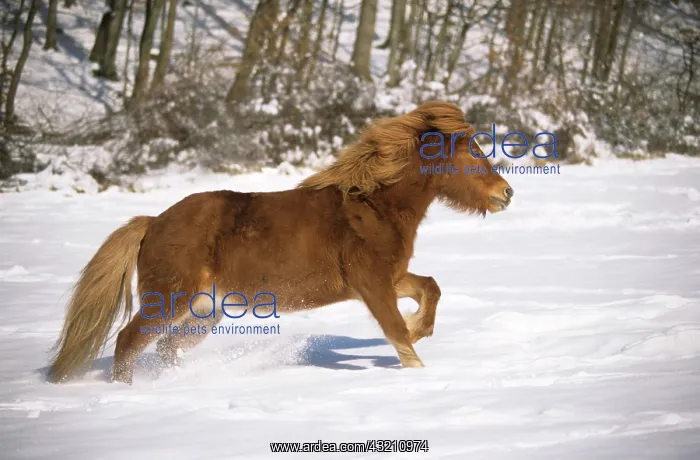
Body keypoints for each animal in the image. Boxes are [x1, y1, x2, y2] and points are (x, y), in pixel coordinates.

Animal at [47, 101, 513, 384]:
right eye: (471, 152)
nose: (506, 194)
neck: (373, 205)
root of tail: (153, 222)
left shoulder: (387, 277)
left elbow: (429, 288)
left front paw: (421, 329)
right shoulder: (371, 283)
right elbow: (396, 331)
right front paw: (418, 367)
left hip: (205, 310)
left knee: (165, 348)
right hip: (169, 300)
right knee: (128, 342)